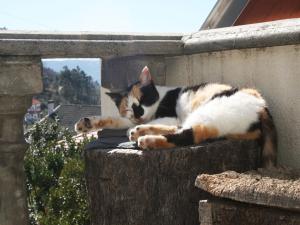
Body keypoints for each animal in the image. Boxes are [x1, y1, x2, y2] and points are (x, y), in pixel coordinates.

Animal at [74, 66, 276, 168]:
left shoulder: (169, 115)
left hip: (209, 113)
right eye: (128, 108)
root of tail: (262, 106)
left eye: (142, 99)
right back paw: (140, 132)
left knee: (188, 134)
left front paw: (135, 129)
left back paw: (145, 137)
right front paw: (86, 123)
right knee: (181, 130)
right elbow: (114, 119)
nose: (139, 113)